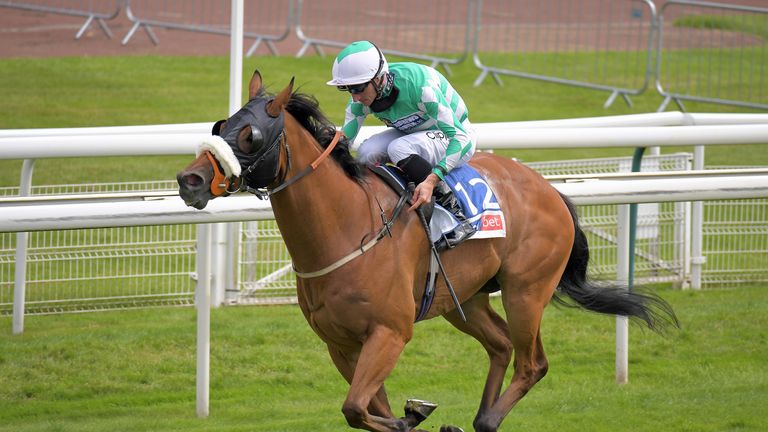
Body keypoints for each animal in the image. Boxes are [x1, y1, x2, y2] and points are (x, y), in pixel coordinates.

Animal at [176, 71, 680, 432]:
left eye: (251, 137)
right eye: (220, 125)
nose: (190, 180)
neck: (348, 230)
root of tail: (552, 191)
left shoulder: (389, 333)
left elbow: (355, 407)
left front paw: (412, 414)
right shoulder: (341, 344)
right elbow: (364, 409)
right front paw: (410, 414)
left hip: (526, 291)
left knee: (532, 363)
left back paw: (488, 419)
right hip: (464, 299)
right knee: (500, 345)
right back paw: (474, 418)